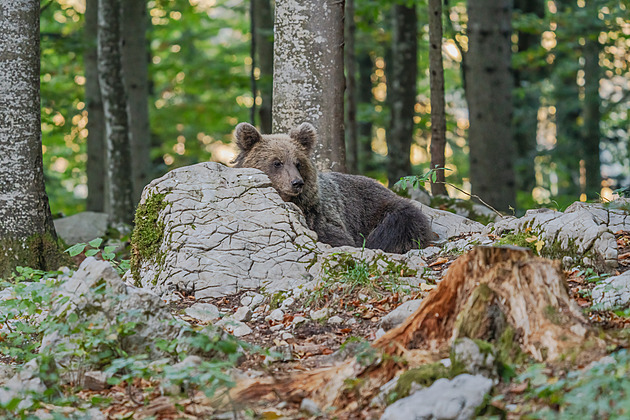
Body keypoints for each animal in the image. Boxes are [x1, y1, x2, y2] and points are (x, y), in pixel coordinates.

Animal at [233, 121, 434, 253]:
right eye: (277, 162)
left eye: (298, 163)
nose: (297, 183)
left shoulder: (322, 216)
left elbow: (337, 237)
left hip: (378, 206)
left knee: (401, 220)